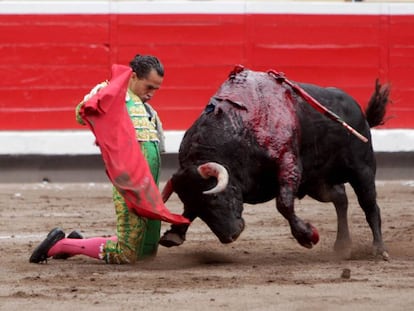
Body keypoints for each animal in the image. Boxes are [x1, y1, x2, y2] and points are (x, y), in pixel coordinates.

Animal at [160, 67, 390, 260]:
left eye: (215, 197)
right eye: (195, 206)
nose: (230, 236)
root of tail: (359, 112)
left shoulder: (288, 163)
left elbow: (284, 203)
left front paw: (308, 236)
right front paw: (173, 235)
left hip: (362, 170)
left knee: (370, 206)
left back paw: (379, 250)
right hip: (318, 183)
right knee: (340, 199)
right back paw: (342, 245)